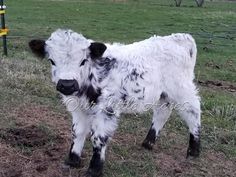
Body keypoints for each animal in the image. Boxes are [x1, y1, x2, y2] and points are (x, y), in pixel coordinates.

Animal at [28, 29, 200, 177]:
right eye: (52, 60)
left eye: (83, 61)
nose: (67, 85)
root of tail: (179, 37)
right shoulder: (78, 108)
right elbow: (77, 131)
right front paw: (72, 160)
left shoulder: (106, 109)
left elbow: (98, 138)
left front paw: (94, 169)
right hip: (164, 94)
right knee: (162, 113)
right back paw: (148, 143)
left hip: (182, 89)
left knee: (193, 112)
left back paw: (194, 151)